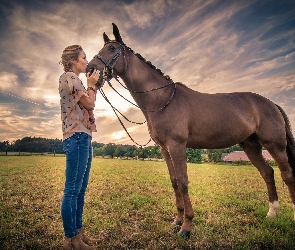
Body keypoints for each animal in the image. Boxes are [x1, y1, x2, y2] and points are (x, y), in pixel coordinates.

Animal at [86, 23, 295, 236]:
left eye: (112, 48)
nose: (90, 68)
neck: (163, 100)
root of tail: (271, 104)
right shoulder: (165, 148)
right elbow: (174, 181)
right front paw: (178, 220)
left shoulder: (177, 145)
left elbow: (183, 182)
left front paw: (186, 226)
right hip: (251, 146)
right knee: (268, 172)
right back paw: (272, 213)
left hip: (275, 145)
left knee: (287, 175)